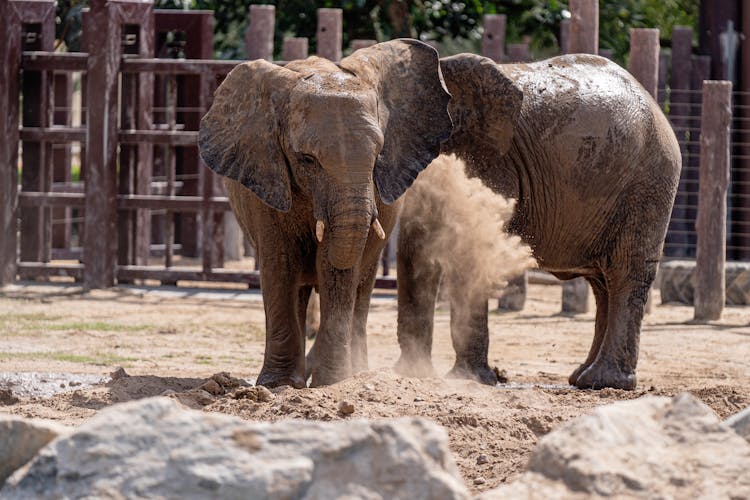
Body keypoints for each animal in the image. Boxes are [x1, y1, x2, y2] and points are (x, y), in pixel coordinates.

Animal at [197, 41, 452, 388]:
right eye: (307, 160)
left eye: (378, 156)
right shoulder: (267, 178)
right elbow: (280, 265)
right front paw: (276, 385)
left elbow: (336, 269)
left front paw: (331, 382)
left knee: (361, 288)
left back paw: (355, 371)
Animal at [396, 53, 684, 390]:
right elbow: (417, 249)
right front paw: (412, 373)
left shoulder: (493, 162)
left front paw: (470, 379)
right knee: (603, 284)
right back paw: (582, 378)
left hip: (648, 184)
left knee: (625, 272)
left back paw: (606, 382)